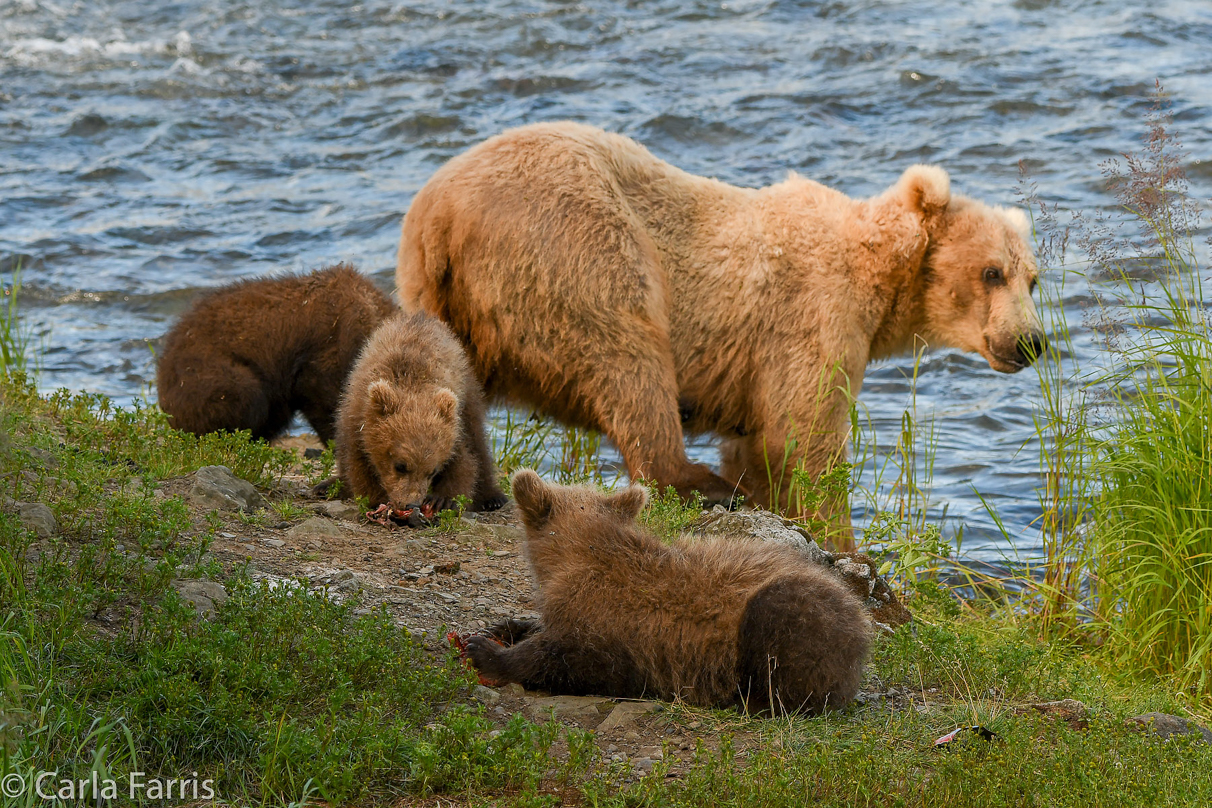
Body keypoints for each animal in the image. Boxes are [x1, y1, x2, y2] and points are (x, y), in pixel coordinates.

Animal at [395, 123, 1042, 540]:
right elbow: (805, 437)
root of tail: (440, 213)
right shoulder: (812, 316)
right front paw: (842, 541)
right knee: (628, 357)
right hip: (576, 246)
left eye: (1032, 279)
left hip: (435, 293)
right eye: (992, 271)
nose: (1032, 342)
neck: (877, 272)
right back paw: (699, 484)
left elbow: (761, 445)